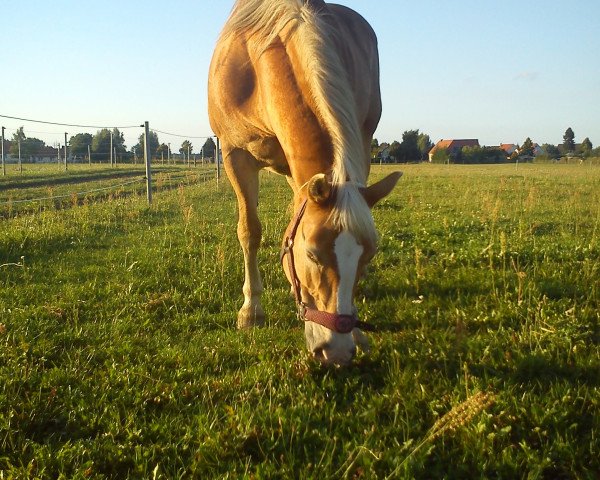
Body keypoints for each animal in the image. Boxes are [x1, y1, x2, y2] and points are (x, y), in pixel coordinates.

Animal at [209, 0, 400, 366]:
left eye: (369, 255)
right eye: (311, 254)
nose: (337, 351)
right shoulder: (235, 155)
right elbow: (249, 231)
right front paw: (251, 311)